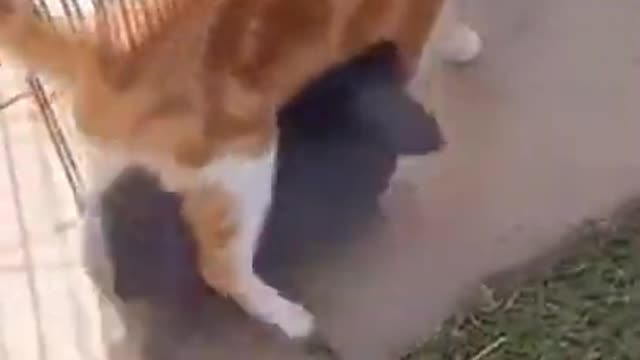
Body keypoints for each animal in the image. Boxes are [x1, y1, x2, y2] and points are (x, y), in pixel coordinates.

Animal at [0, 0, 480, 340]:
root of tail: (95, 48)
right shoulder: (405, 29)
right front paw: (460, 43)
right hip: (244, 162)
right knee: (220, 267)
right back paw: (290, 318)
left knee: (96, 203)